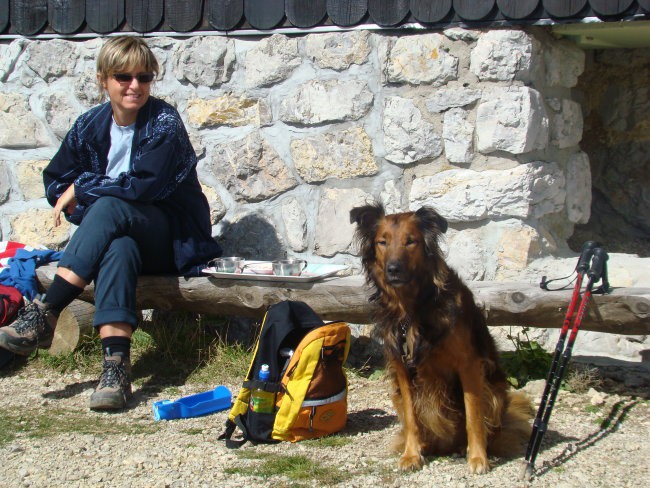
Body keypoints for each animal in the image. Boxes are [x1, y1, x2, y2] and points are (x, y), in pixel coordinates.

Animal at [352, 202, 528, 472]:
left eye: (410, 241)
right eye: (383, 242)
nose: (393, 269)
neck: (411, 309)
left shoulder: (469, 364)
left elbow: (473, 416)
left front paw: (478, 458)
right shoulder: (401, 367)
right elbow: (412, 418)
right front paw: (411, 454)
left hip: (495, 391)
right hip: (396, 392)